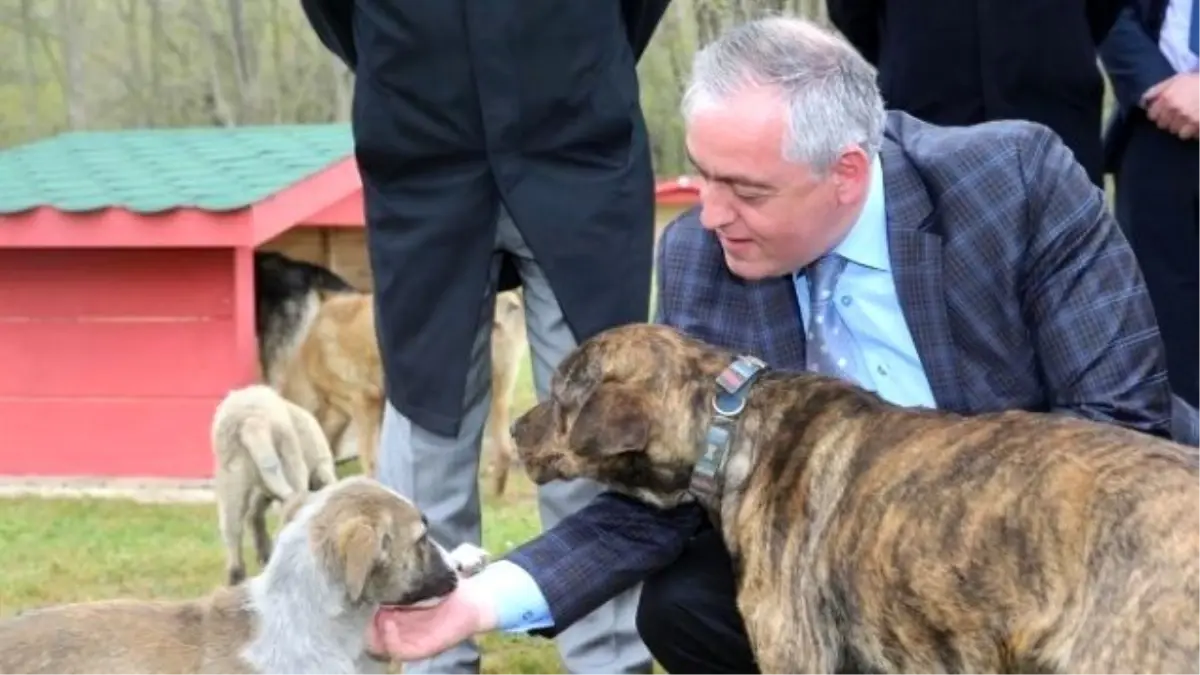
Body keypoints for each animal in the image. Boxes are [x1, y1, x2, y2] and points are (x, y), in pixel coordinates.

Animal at [212, 384, 338, 583]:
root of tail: (252, 421)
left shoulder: (262, 488)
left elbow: (254, 515)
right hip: (290, 460)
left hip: (232, 474)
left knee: (231, 526)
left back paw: (237, 576)